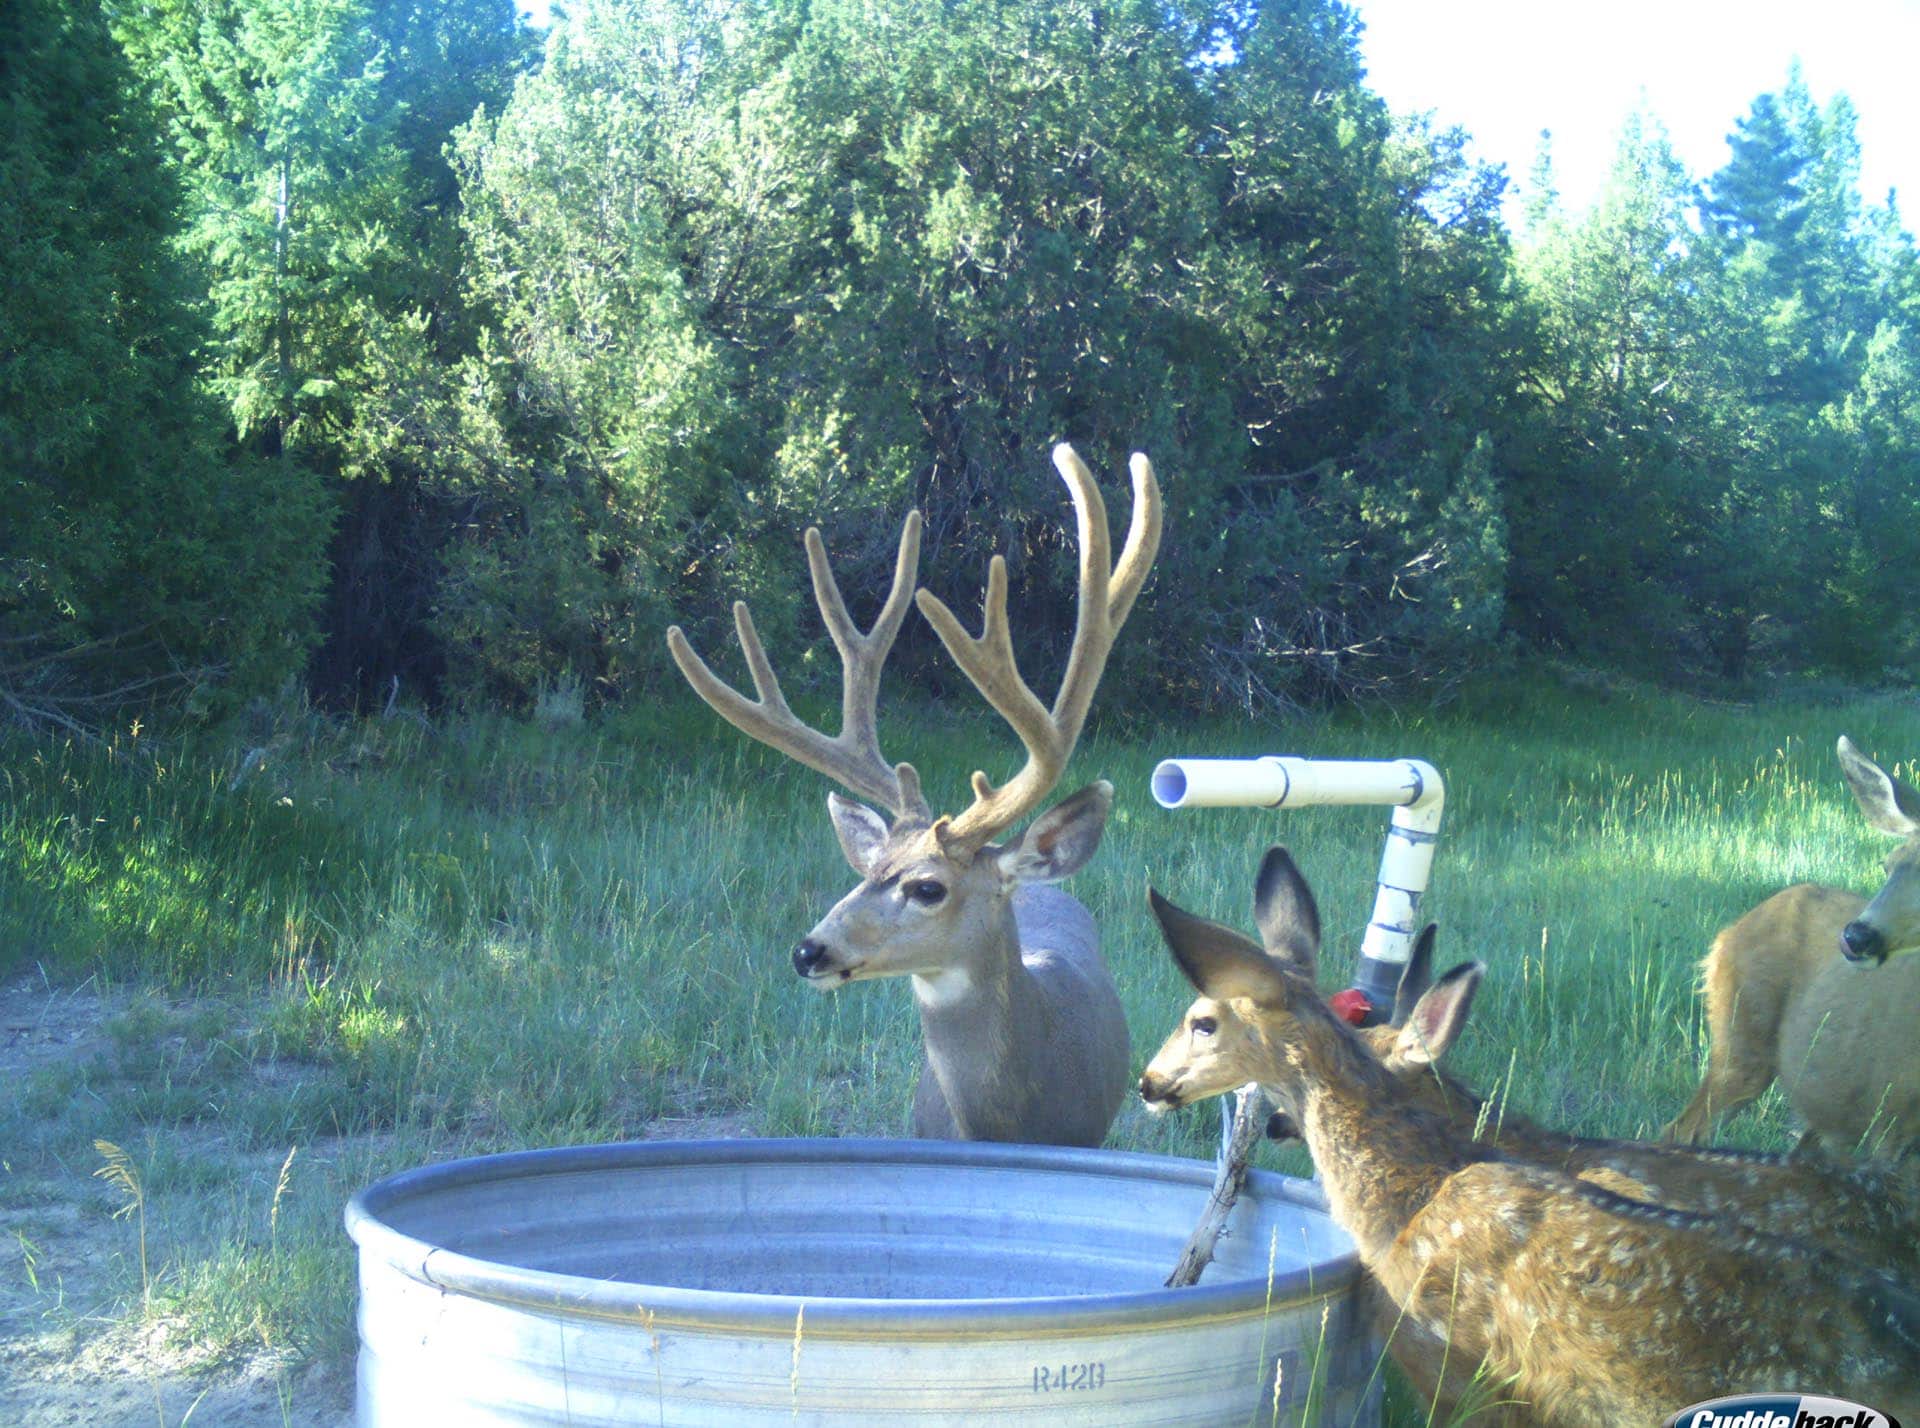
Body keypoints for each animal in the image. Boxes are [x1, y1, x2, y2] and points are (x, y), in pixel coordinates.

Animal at [1663, 735, 1920, 1158]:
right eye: (1887, 864)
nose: (1856, 936)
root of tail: (1724, 935)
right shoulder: (1891, 1115)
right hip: (1740, 1032)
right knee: (1684, 1129)